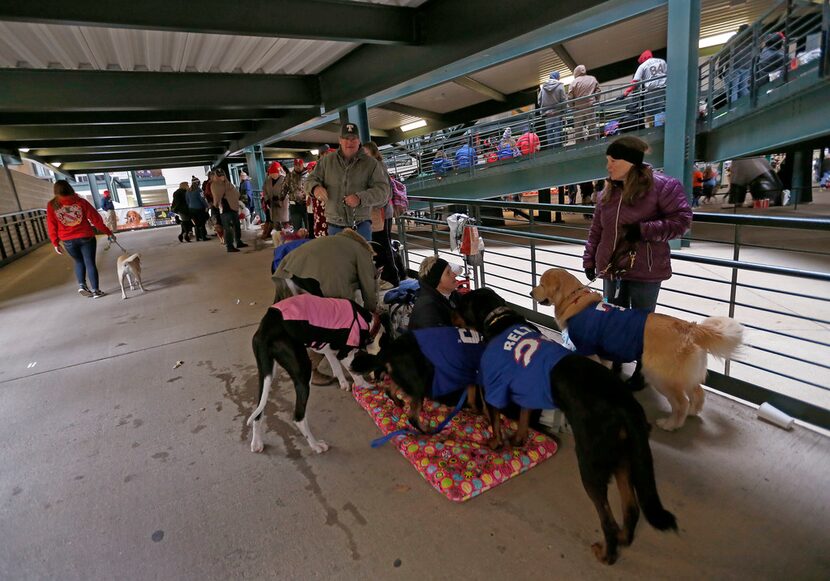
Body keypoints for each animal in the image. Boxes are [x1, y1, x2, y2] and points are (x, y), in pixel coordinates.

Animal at [352, 326, 488, 430]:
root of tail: (391, 349)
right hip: (418, 384)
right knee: (413, 418)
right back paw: (428, 431)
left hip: (404, 377)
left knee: (389, 391)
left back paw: (399, 403)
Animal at [458, 288, 680, 564]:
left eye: (462, 301)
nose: (452, 297)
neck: (497, 319)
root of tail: (626, 408)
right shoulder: (527, 389)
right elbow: (524, 416)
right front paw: (519, 439)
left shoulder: (494, 388)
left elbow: (495, 421)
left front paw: (495, 442)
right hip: (622, 459)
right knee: (631, 509)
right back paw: (622, 539)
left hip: (590, 463)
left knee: (607, 519)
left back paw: (607, 554)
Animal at [532, 270, 748, 428]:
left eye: (541, 284)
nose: (530, 293)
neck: (573, 300)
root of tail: (690, 327)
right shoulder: (604, 355)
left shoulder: (587, 349)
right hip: (684, 375)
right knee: (698, 393)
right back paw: (693, 412)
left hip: (660, 376)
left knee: (681, 403)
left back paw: (670, 424)